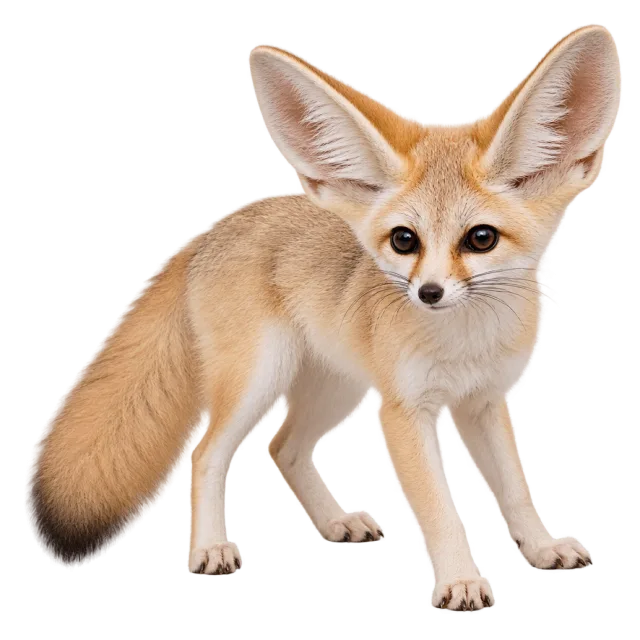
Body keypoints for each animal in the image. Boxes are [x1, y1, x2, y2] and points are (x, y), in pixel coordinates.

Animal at [26, 25, 621, 609]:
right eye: (404, 240)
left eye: (481, 239)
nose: (428, 292)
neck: (464, 344)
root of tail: (212, 229)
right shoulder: (406, 412)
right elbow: (440, 508)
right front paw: (460, 579)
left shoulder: (485, 403)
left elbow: (516, 491)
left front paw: (541, 548)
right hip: (261, 380)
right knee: (208, 452)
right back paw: (212, 547)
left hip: (338, 389)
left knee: (281, 448)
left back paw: (334, 522)